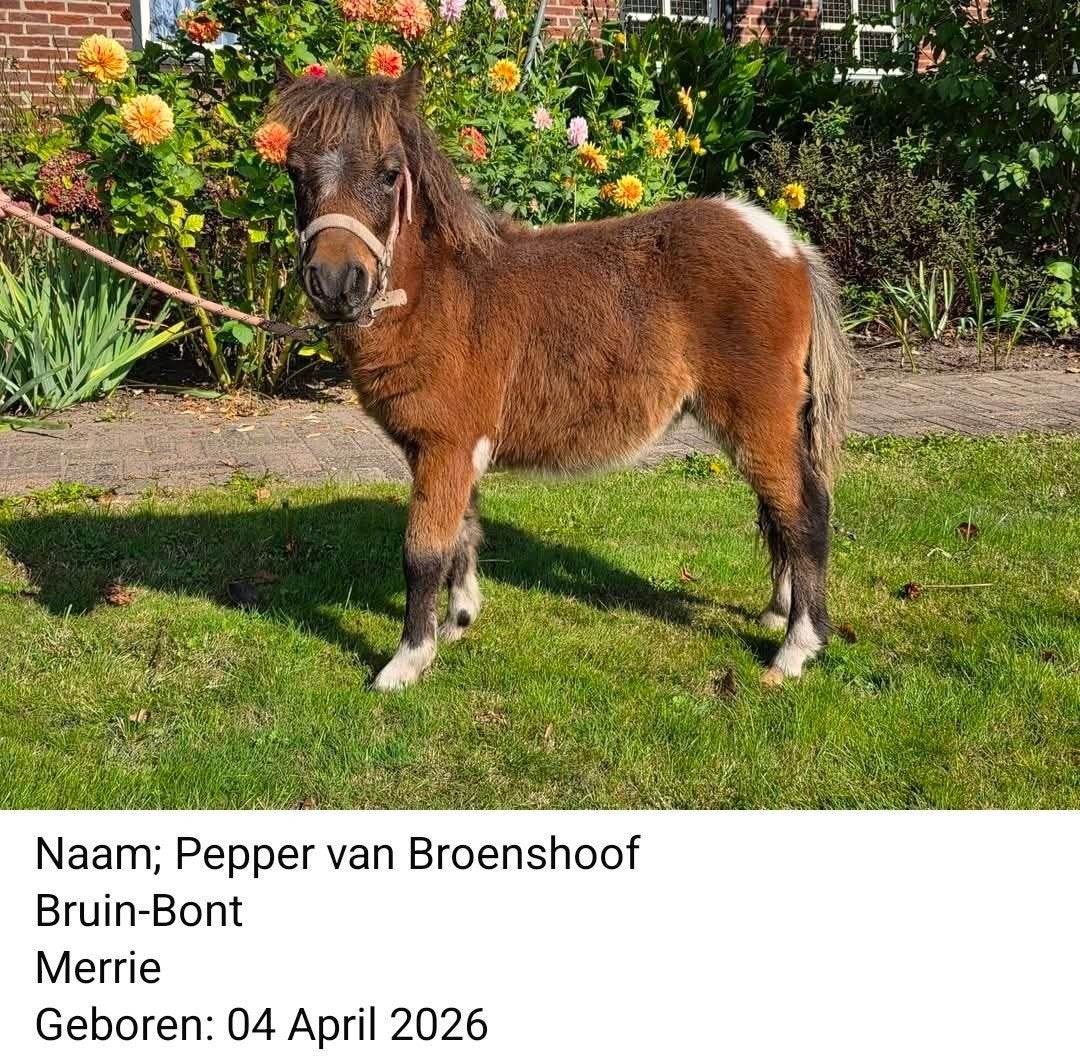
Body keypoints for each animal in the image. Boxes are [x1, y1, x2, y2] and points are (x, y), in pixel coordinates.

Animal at [269, 66, 852, 691]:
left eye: (389, 173)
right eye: (294, 172)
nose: (334, 284)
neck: (441, 294)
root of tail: (786, 245)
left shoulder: (444, 448)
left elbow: (423, 552)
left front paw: (406, 663)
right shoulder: (453, 451)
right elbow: (463, 533)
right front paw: (459, 621)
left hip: (758, 420)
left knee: (804, 512)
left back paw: (796, 649)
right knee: (781, 514)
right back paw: (778, 613)